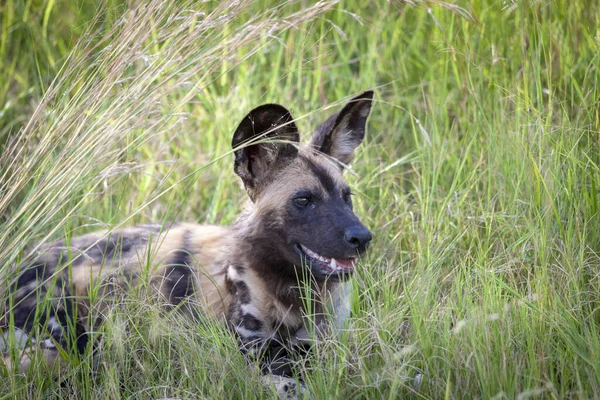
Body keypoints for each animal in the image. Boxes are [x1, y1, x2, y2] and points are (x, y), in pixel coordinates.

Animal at [1, 90, 376, 394]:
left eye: (347, 197)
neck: (293, 291)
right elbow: (291, 385)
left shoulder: (326, 347)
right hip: (67, 342)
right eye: (303, 200)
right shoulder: (249, 360)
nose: (362, 238)